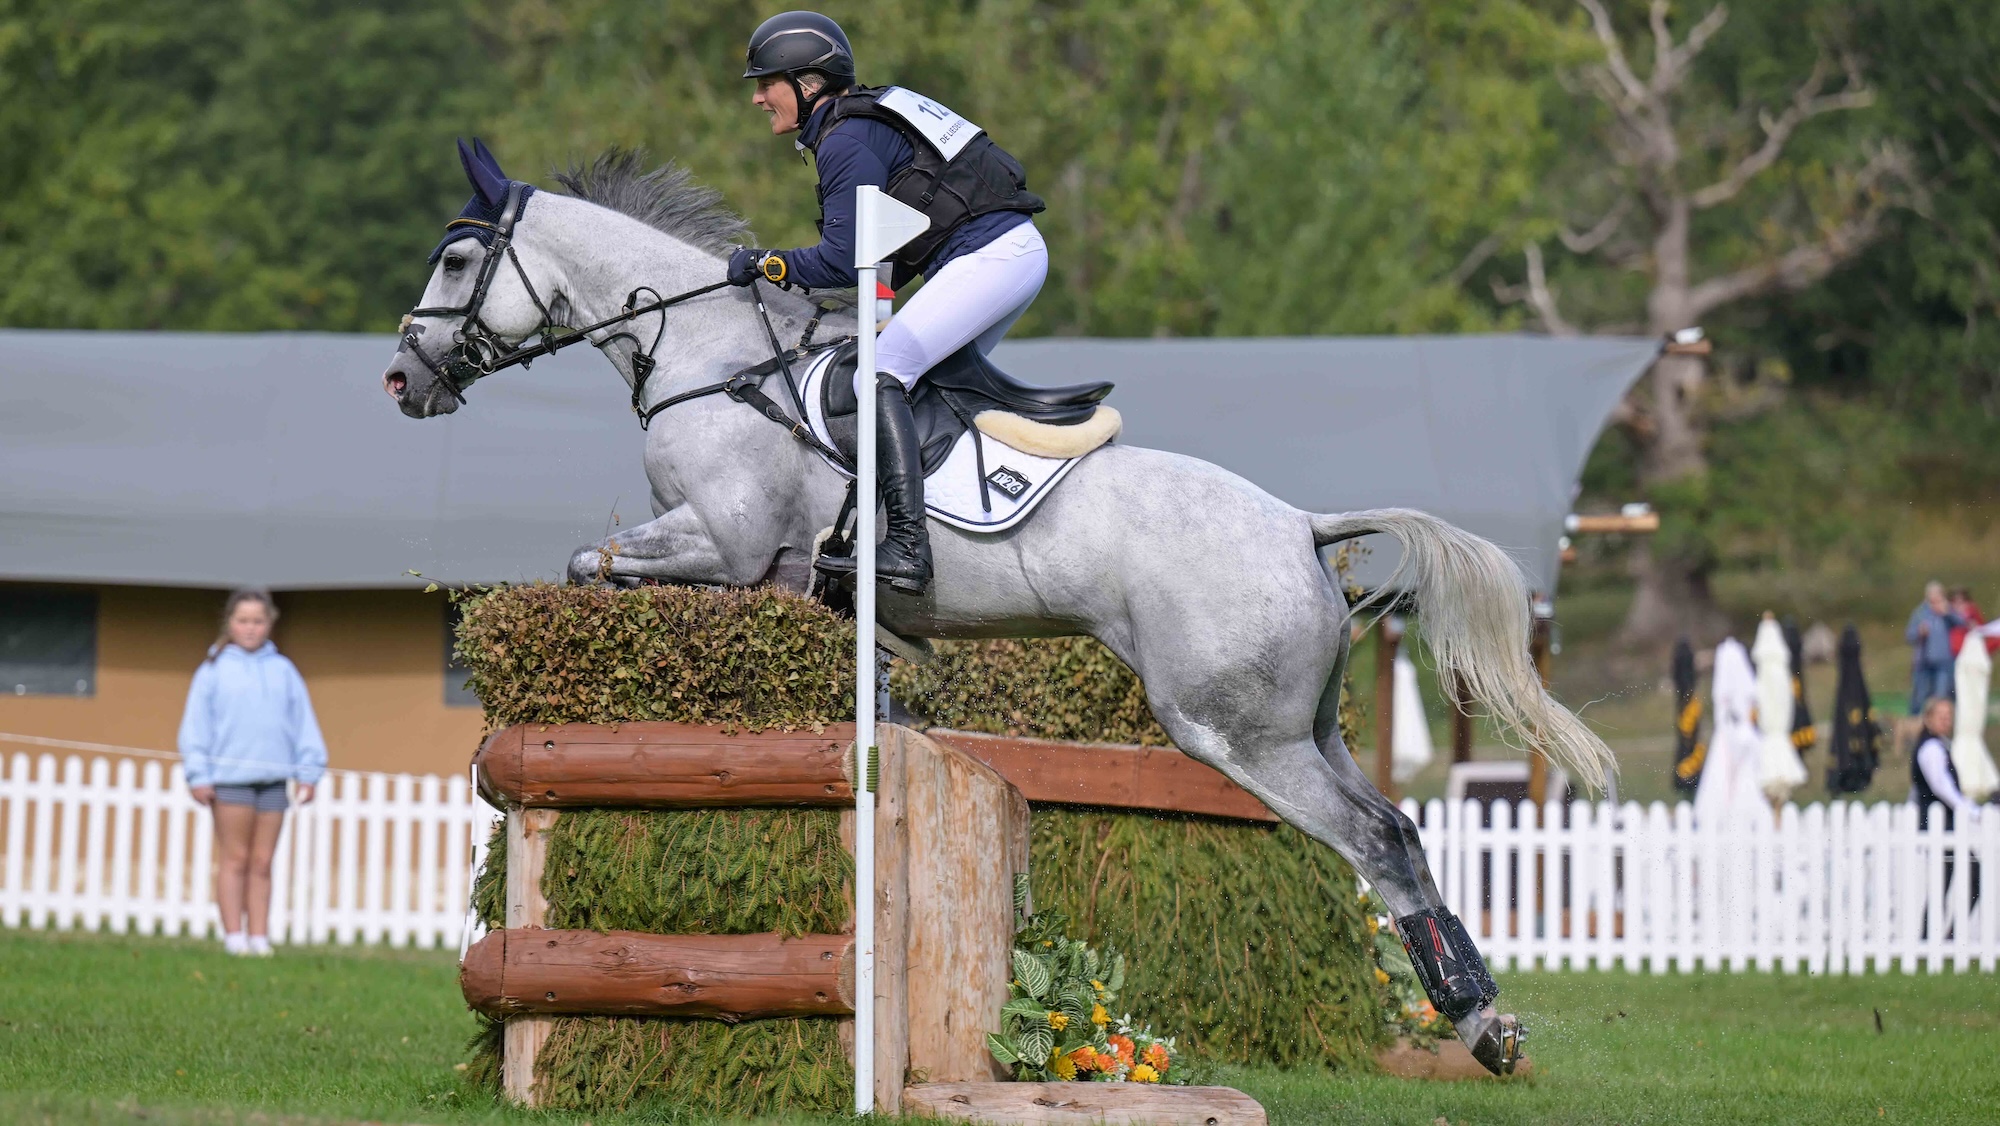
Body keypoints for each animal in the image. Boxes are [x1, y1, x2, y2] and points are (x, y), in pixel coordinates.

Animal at [383, 142, 1614, 1073]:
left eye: (457, 258)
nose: (404, 380)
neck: (707, 354)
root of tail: (1298, 524)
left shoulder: (724, 545)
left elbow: (592, 565)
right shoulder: (760, 572)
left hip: (1233, 730)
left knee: (1370, 837)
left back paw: (1479, 1024)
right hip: (1301, 723)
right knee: (1394, 828)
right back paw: (1479, 1010)